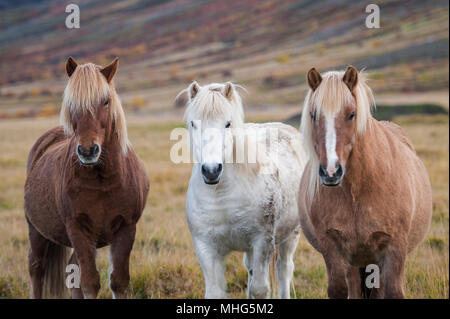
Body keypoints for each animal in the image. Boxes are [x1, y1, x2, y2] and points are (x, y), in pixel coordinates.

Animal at [24, 56, 149, 298]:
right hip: (36, 230)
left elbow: (118, 282)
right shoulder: (78, 229)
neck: (104, 181)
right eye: (71, 104)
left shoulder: (127, 229)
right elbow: (90, 283)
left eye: (105, 101)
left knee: (70, 270)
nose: (88, 151)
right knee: (36, 268)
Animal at [181, 81, 308, 298]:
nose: (211, 170)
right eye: (193, 124)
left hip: (291, 235)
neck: (222, 197)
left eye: (228, 123)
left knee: (284, 270)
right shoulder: (206, 248)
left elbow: (259, 289)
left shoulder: (261, 242)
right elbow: (216, 291)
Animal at [298, 66, 432, 298]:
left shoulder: (394, 247)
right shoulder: (332, 246)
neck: (359, 190)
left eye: (351, 114)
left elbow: (393, 292)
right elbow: (338, 289)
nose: (331, 172)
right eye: (313, 115)